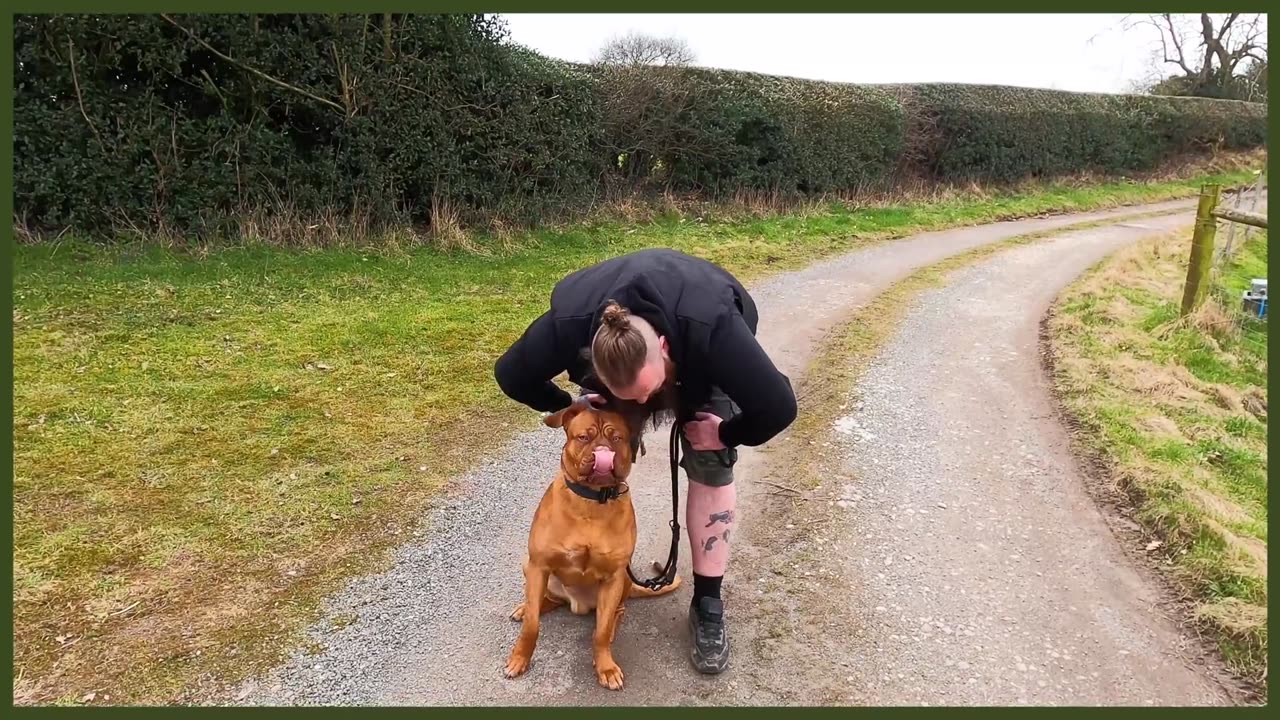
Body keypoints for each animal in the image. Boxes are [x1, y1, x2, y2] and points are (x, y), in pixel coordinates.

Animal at [501, 399, 686, 686]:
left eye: (617, 438)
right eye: (584, 437)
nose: (602, 452)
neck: (591, 501)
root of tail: (577, 604)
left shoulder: (613, 577)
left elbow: (600, 631)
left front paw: (605, 666)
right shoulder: (539, 566)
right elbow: (532, 625)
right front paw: (520, 658)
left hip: (622, 582)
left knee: (615, 615)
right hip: (529, 565)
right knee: (545, 601)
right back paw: (525, 608)